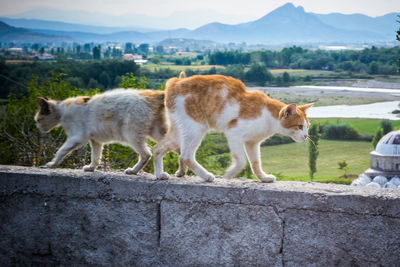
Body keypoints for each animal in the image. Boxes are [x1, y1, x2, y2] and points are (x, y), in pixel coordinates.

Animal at [35, 89, 185, 175]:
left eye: (37, 120)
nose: (38, 129)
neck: (62, 111)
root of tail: (154, 94)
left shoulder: (77, 137)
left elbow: (61, 151)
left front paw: (52, 164)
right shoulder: (95, 141)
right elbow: (95, 156)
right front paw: (91, 168)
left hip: (132, 134)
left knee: (146, 154)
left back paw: (134, 171)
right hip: (157, 131)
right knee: (179, 150)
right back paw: (181, 172)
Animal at [153, 72, 312, 183]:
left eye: (307, 127)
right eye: (299, 126)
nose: (306, 136)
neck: (268, 116)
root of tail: (175, 82)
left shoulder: (252, 142)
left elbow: (255, 163)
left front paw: (263, 178)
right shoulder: (233, 132)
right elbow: (241, 160)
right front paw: (229, 174)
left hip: (179, 131)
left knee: (158, 148)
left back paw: (159, 174)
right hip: (196, 128)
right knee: (185, 155)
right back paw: (206, 176)